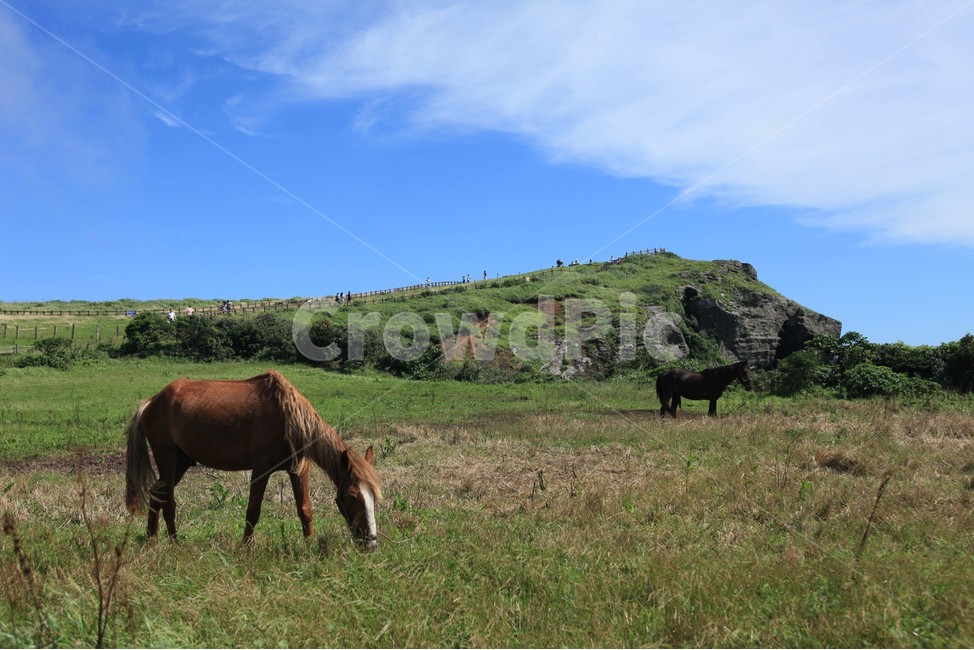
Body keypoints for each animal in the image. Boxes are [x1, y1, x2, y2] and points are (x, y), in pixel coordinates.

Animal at [124, 370, 381, 549]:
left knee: (157, 493)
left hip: (182, 462)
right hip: (167, 459)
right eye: (352, 495)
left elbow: (305, 509)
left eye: (374, 497)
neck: (286, 416)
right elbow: (253, 511)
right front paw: (245, 548)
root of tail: (152, 402)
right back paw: (172, 542)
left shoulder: (298, 469)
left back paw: (153, 540)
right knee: (167, 499)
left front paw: (310, 546)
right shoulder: (261, 468)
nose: (371, 543)